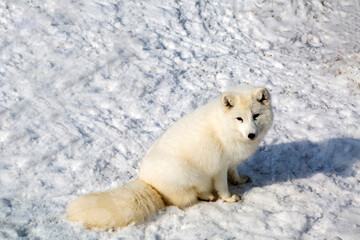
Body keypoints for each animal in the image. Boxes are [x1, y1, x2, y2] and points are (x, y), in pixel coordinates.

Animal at [67, 85, 272, 230]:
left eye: (256, 116)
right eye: (239, 119)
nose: (251, 135)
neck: (225, 127)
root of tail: (148, 183)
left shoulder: (230, 161)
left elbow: (234, 173)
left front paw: (239, 180)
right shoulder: (219, 166)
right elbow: (223, 187)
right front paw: (229, 198)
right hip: (188, 174)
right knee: (186, 198)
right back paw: (208, 195)